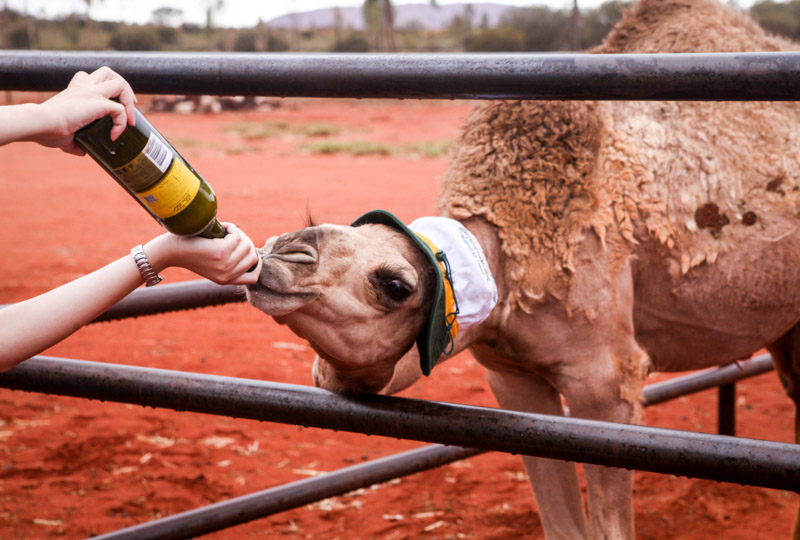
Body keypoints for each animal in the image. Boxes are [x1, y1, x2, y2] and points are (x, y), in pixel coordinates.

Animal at [247, 2, 800, 536]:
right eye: (313, 223)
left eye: (395, 284)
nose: (281, 253)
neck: (511, 255)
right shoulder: (514, 380)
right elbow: (563, 524)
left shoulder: (607, 386)